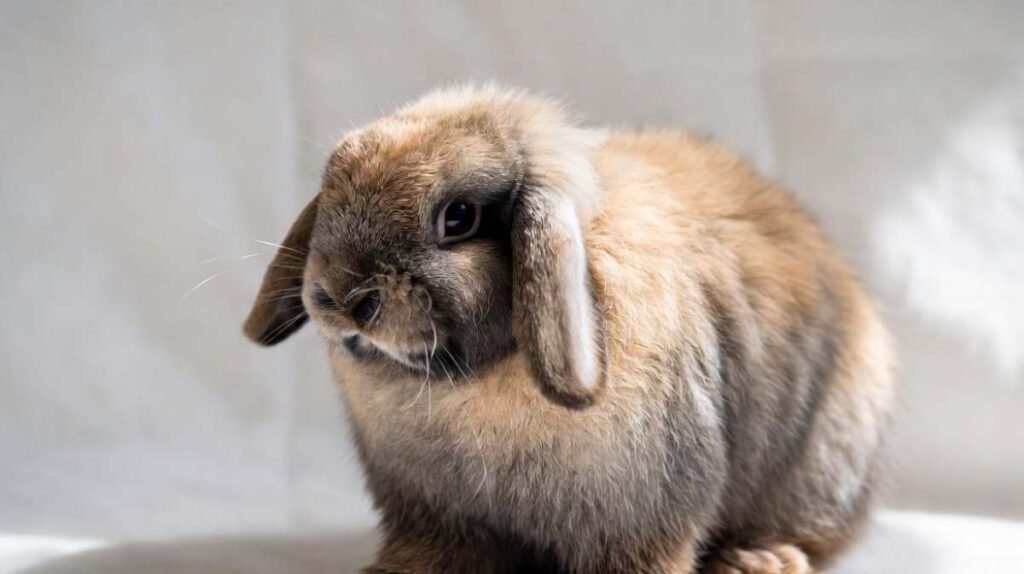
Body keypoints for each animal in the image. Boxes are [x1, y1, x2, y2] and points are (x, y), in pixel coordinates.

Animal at [243, 86, 895, 574]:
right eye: (332, 188)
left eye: (459, 218)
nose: (340, 296)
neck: (471, 382)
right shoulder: (431, 512)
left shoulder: (643, 511)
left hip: (818, 471)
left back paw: (758, 562)